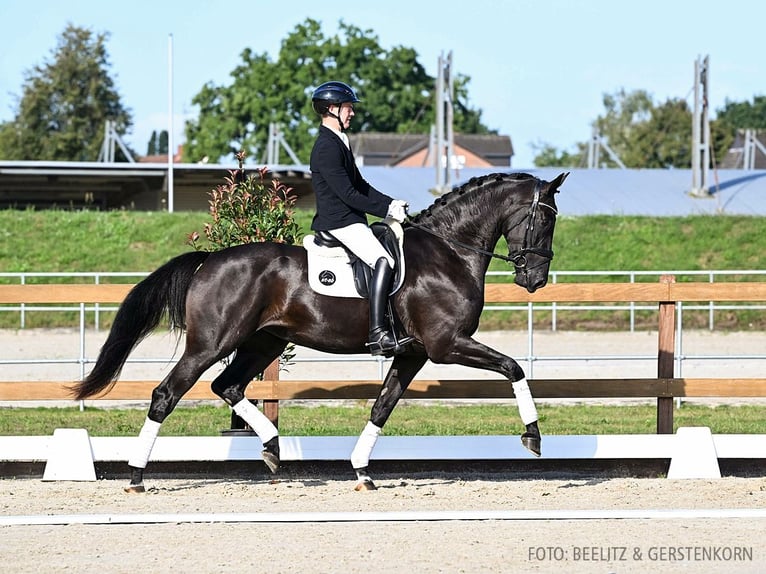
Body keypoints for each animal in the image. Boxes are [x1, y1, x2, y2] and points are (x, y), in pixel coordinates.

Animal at [72, 169, 568, 492]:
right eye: (546, 218)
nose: (535, 280)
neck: (448, 252)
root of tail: (211, 258)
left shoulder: (413, 353)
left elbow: (382, 407)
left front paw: (362, 471)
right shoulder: (446, 345)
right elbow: (513, 367)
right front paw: (533, 436)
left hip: (263, 341)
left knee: (227, 385)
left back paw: (273, 448)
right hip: (211, 342)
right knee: (168, 393)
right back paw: (137, 476)